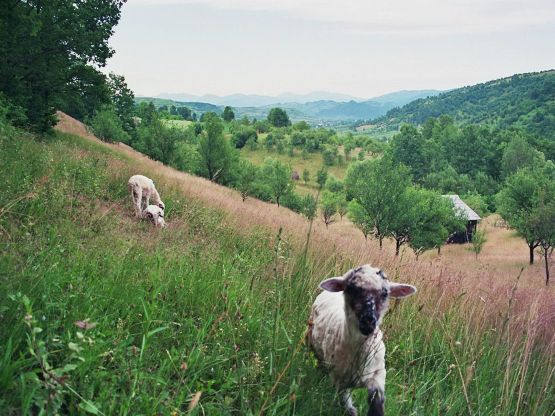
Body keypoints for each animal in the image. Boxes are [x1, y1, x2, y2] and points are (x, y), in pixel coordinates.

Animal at [308, 264, 416, 414]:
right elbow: (349, 408)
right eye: (351, 289)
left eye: (385, 293)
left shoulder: (377, 376)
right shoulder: (339, 380)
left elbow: (376, 404)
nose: (368, 321)